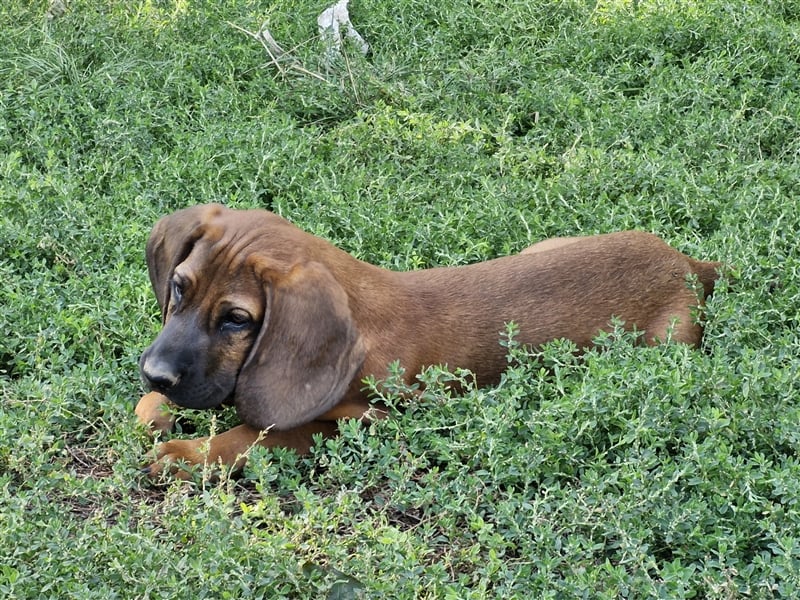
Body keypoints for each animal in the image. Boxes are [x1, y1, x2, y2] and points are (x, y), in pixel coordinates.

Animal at [136, 204, 720, 476]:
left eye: (237, 319)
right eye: (178, 286)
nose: (154, 372)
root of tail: (692, 265)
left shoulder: (361, 422)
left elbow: (253, 435)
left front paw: (187, 452)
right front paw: (156, 411)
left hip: (667, 344)